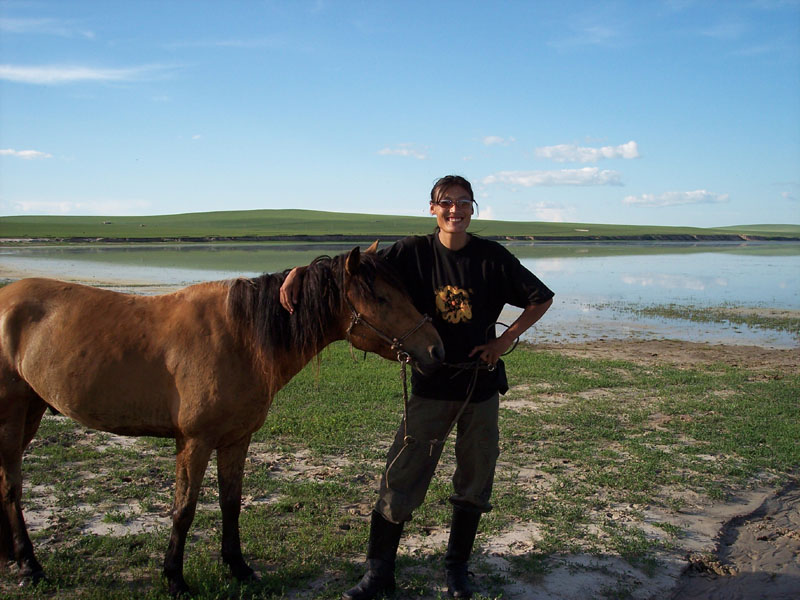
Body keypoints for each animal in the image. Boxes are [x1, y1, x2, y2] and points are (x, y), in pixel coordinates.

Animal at [0, 244, 444, 596]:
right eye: (382, 298)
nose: (436, 350)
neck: (241, 336)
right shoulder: (194, 442)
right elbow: (184, 509)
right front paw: (175, 578)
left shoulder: (236, 440)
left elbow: (231, 502)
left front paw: (239, 567)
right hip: (11, 416)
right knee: (11, 486)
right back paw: (29, 566)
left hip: (31, 413)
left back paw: (13, 558)